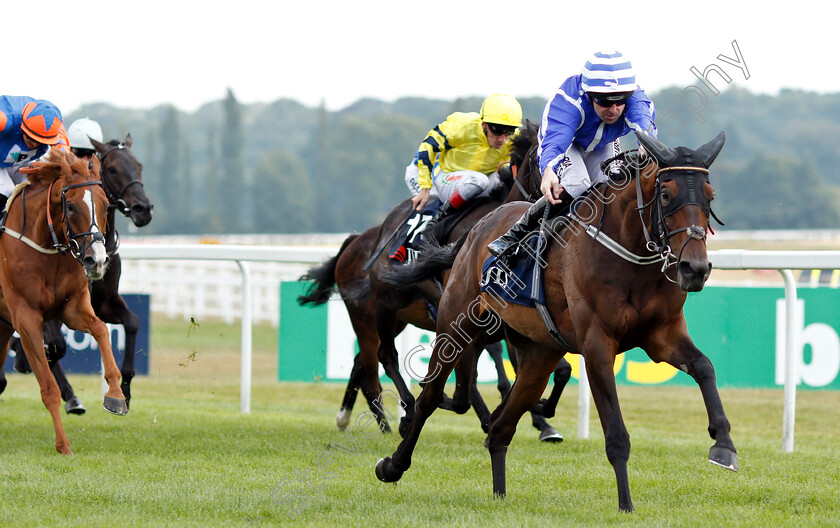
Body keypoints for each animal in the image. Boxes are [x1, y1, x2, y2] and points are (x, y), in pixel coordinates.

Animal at [0, 148, 128, 454]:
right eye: (69, 206)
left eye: (105, 205)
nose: (97, 260)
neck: (45, 246)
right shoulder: (26, 318)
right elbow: (48, 386)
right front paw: (63, 445)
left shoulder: (73, 309)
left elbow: (101, 330)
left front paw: (116, 395)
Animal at [296, 121, 572, 440]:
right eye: (546, 161)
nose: (563, 196)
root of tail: (363, 239)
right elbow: (480, 371)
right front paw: (498, 414)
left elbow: (550, 369)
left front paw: (540, 418)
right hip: (377, 311)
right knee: (382, 357)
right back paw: (400, 415)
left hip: (396, 319)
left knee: (363, 364)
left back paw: (360, 418)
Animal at [374, 131, 736, 512]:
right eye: (666, 194)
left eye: (710, 196)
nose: (695, 268)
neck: (629, 255)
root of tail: (475, 230)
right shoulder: (597, 345)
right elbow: (616, 434)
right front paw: (626, 505)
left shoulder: (662, 334)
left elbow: (704, 366)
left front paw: (723, 445)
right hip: (456, 323)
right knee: (430, 396)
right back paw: (394, 462)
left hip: (538, 353)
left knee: (502, 427)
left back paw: (500, 492)